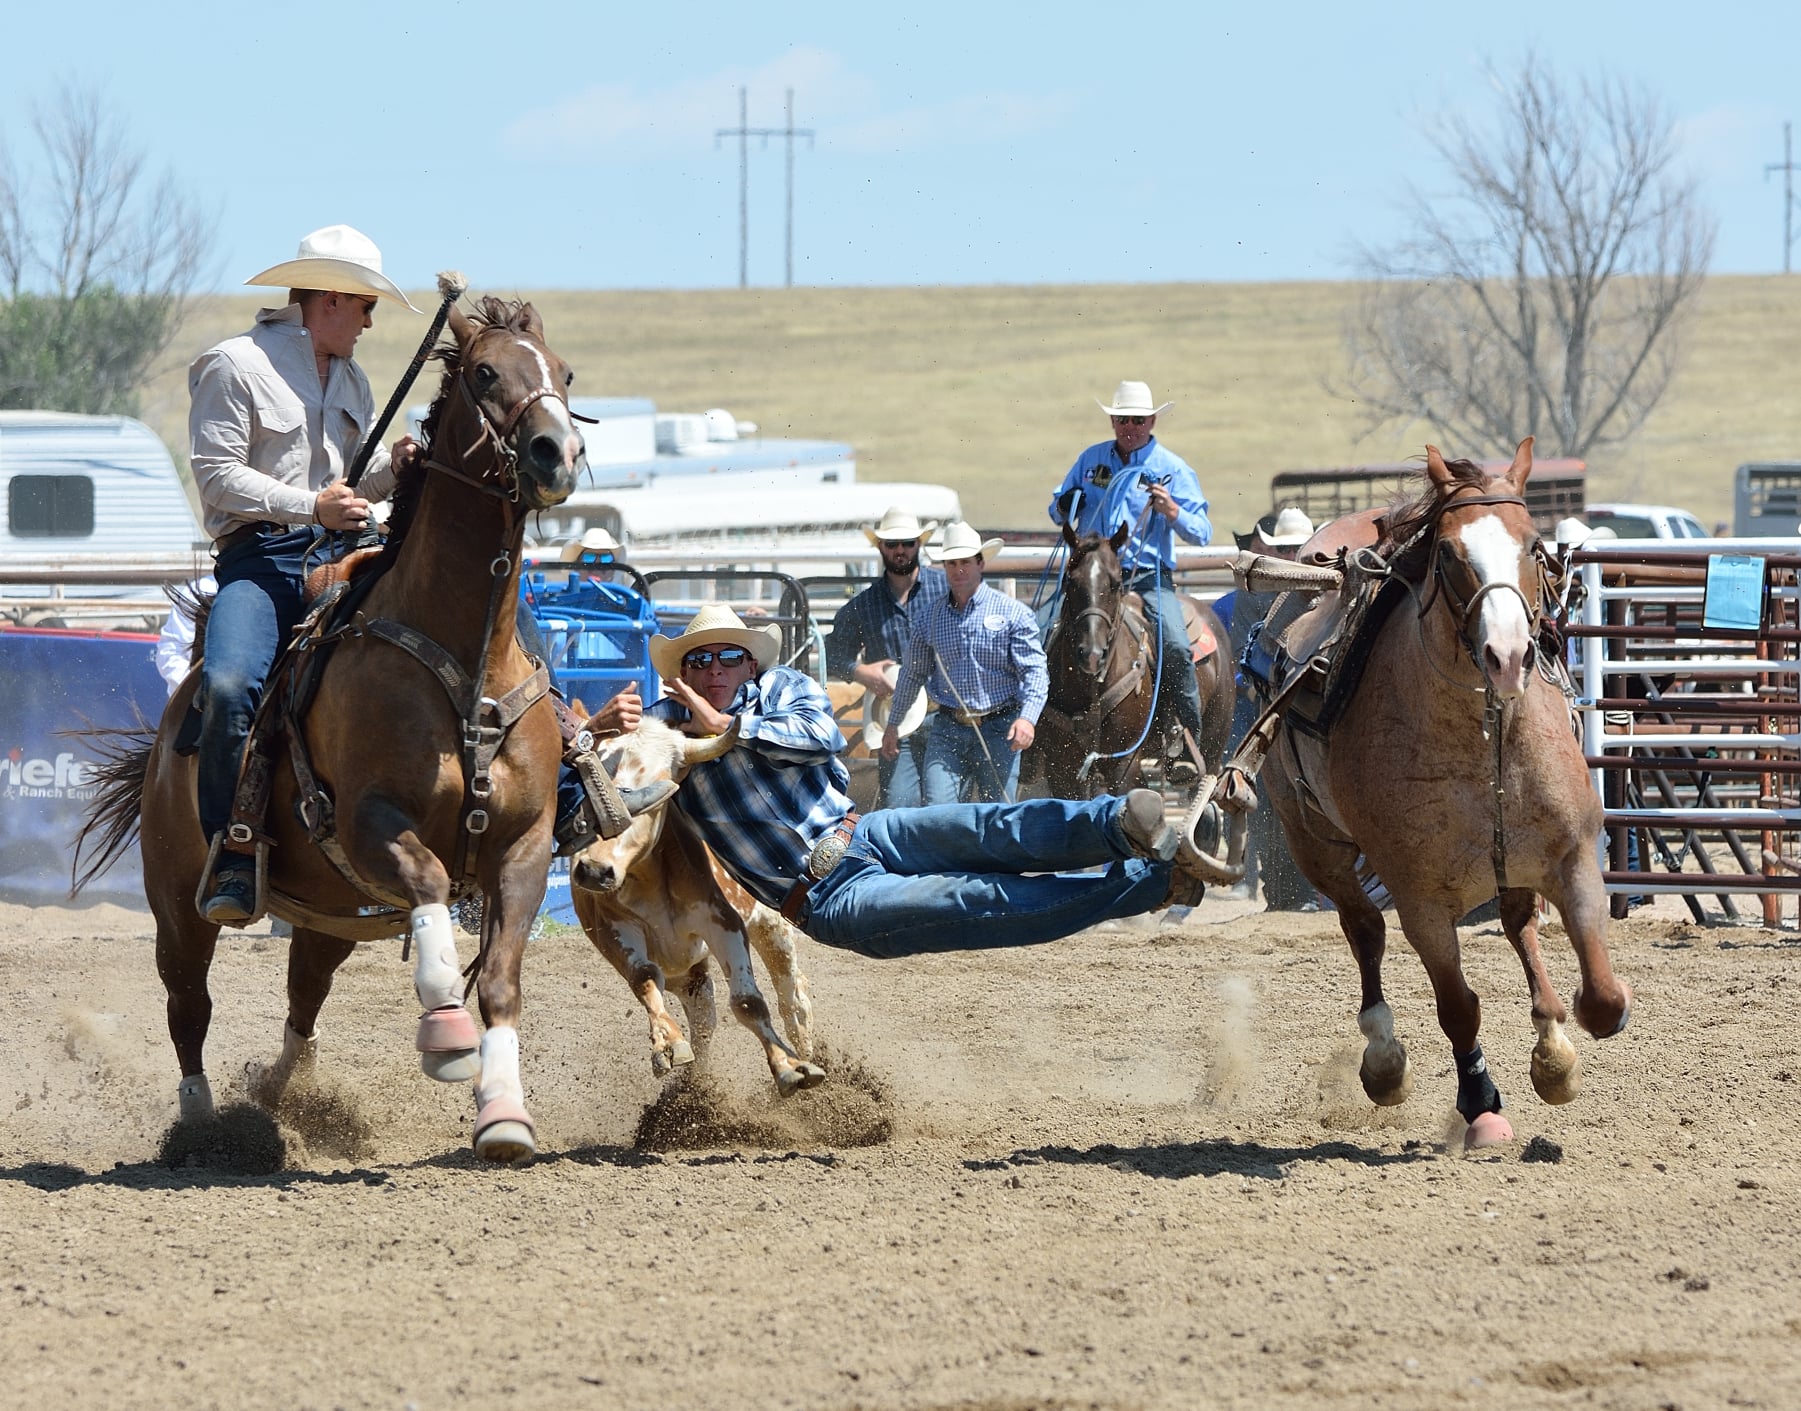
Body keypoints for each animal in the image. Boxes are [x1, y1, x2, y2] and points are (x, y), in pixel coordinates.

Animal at [77, 291, 583, 1167]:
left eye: (564, 373)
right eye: (486, 371)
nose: (558, 452)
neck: (463, 656)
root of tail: (172, 728)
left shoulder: (522, 842)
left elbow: (501, 980)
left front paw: (503, 1114)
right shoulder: (370, 819)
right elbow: (429, 886)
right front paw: (446, 1034)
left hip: (326, 908)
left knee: (303, 996)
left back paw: (287, 1095)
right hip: (178, 898)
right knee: (188, 1002)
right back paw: (203, 1125)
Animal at [1253, 437, 1635, 1146]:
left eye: (1534, 545)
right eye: (1451, 555)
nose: (1508, 656)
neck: (1482, 738)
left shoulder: (1572, 858)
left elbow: (1601, 998)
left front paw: (1559, 1055)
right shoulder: (1421, 901)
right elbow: (1459, 1007)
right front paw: (1480, 1104)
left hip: (1508, 862)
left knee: (1517, 924)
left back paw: (1550, 1044)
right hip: (1315, 845)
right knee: (1364, 929)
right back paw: (1383, 1060)